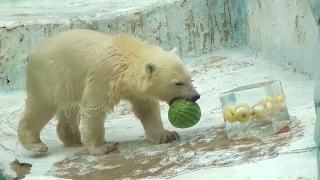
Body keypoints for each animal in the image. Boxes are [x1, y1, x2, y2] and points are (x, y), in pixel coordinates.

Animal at [18, 28, 200, 155]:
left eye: (189, 78)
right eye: (178, 83)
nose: (196, 96)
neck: (125, 56)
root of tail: (34, 54)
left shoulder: (134, 88)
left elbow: (146, 108)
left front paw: (166, 135)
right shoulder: (104, 75)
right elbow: (93, 107)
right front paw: (103, 147)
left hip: (69, 84)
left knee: (69, 109)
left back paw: (73, 139)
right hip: (50, 76)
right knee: (42, 106)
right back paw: (35, 144)